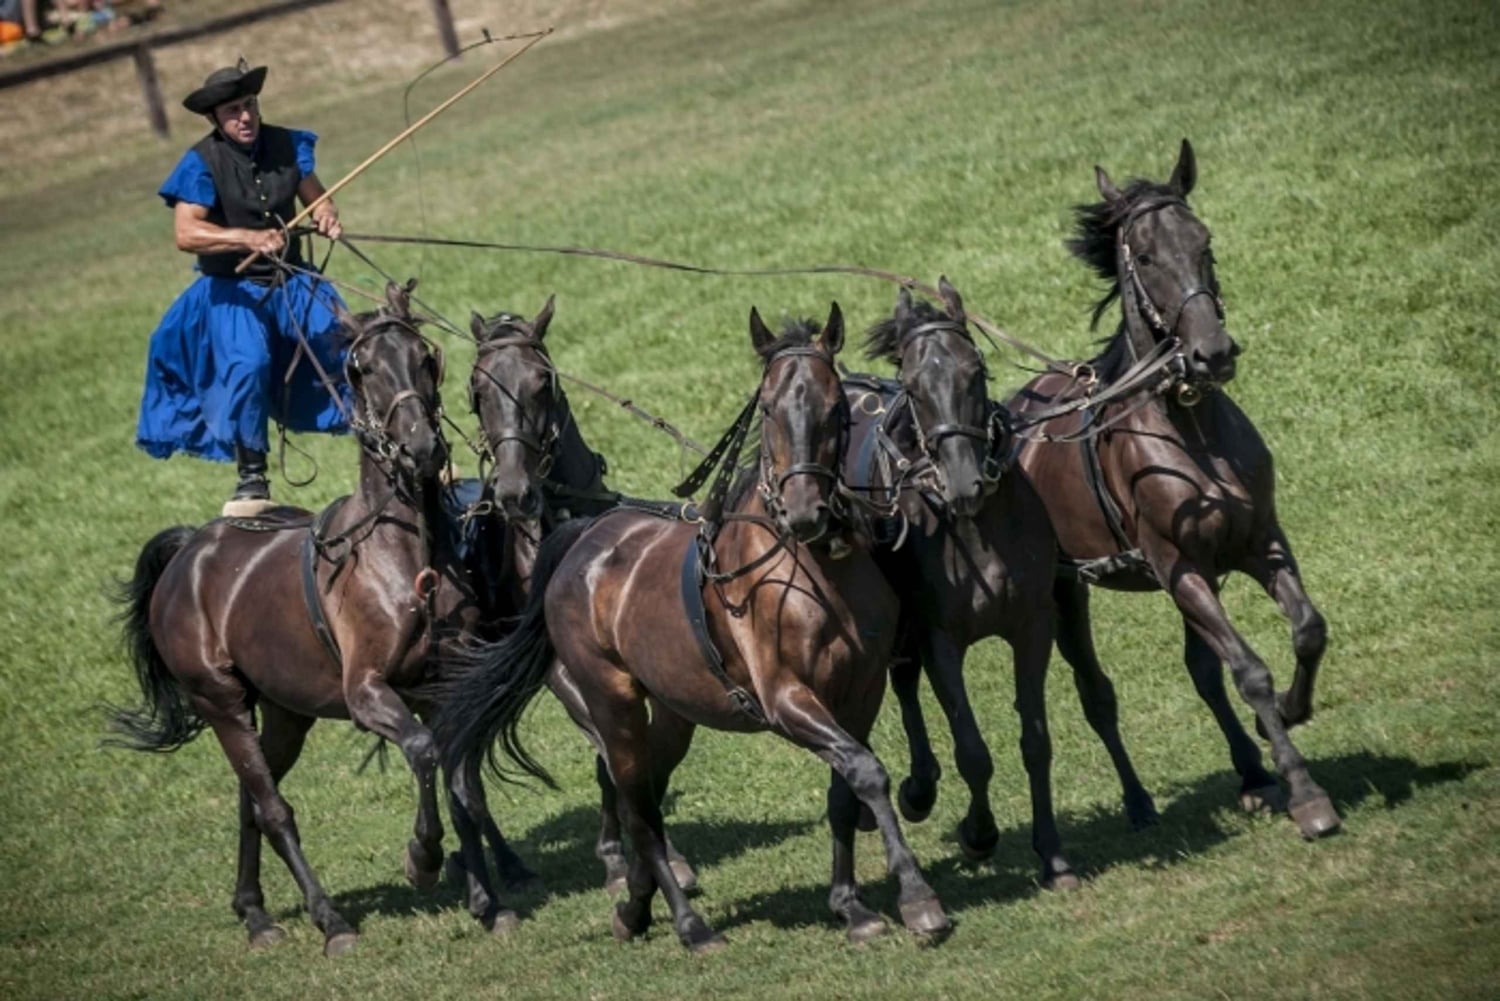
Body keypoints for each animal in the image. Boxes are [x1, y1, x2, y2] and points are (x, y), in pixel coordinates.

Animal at [108, 282, 532, 956]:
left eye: (426, 357)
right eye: (361, 369)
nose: (422, 449)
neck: (405, 553)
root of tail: (189, 553)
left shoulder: (444, 687)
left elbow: (462, 784)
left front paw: (488, 902)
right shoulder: (366, 693)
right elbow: (423, 753)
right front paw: (423, 857)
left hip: (286, 712)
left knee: (251, 797)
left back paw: (253, 909)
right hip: (220, 701)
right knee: (272, 806)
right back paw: (328, 920)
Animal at [437, 304, 951, 950]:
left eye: (836, 406)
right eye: (768, 407)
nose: (805, 512)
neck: (809, 566)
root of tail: (583, 540)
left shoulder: (861, 691)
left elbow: (847, 788)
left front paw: (851, 906)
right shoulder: (786, 699)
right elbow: (866, 772)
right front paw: (917, 898)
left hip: (673, 712)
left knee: (648, 796)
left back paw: (636, 904)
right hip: (613, 704)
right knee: (637, 805)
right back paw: (688, 924)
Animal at [842, 279, 1077, 887]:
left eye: (976, 370)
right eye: (914, 386)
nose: (965, 481)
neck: (973, 527)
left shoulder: (1032, 626)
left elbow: (1036, 741)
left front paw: (1054, 854)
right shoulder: (939, 639)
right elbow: (973, 750)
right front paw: (979, 834)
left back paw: (920, 785)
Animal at [1007, 139, 1340, 839]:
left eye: (1203, 241)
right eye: (1146, 256)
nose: (1213, 352)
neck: (1188, 427)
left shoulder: (1257, 542)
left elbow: (1306, 630)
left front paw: (1288, 717)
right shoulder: (1177, 566)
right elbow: (1250, 670)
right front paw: (1306, 793)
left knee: (1201, 671)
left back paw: (1252, 775)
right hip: (1064, 592)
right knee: (1096, 694)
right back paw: (1138, 803)